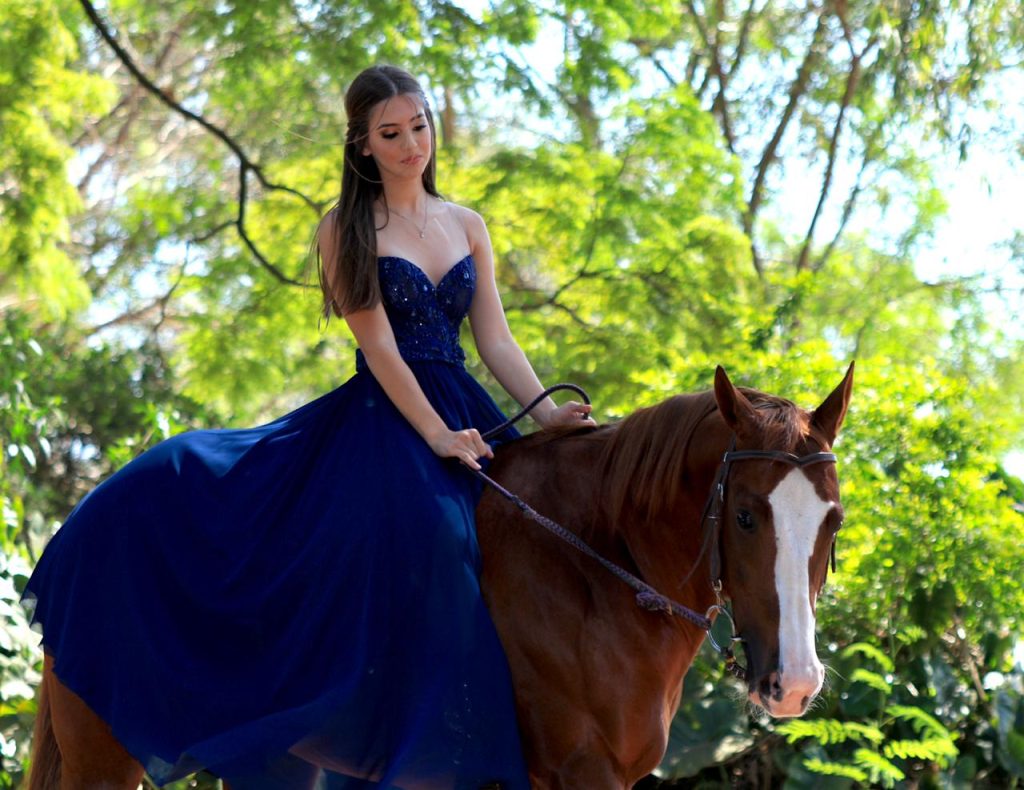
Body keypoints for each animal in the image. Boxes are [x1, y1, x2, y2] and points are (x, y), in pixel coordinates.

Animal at [28, 366, 851, 790]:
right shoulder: (576, 772)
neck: (594, 571)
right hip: (106, 760)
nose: (795, 682)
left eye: (834, 521)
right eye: (744, 515)